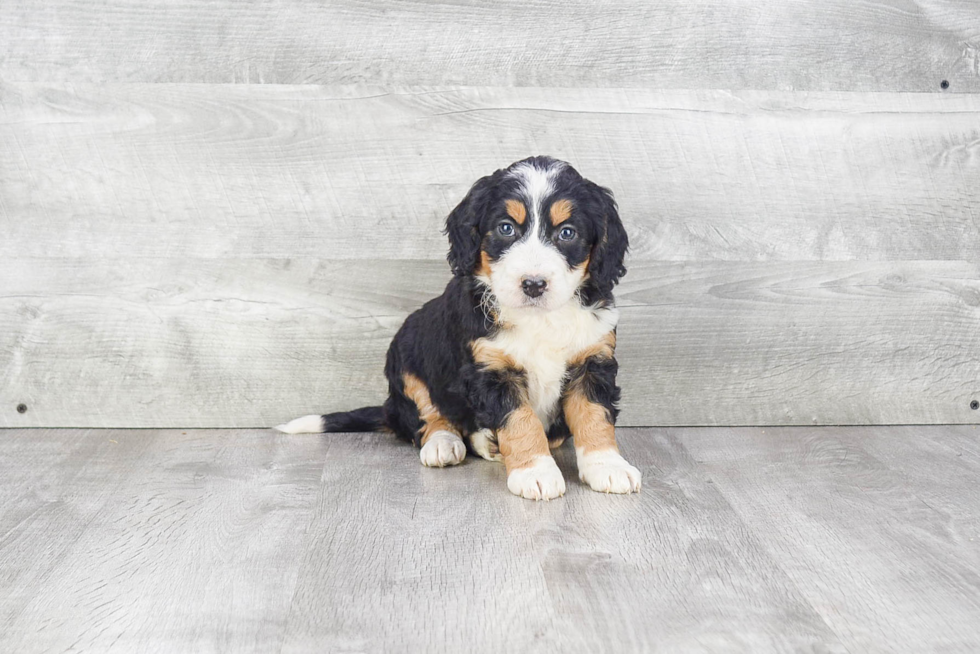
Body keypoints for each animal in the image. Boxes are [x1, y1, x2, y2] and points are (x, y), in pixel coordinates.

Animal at [278, 155, 644, 502]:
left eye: (567, 232)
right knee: (428, 415)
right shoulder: (491, 368)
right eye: (506, 228)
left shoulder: (593, 360)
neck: (539, 318)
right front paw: (535, 472)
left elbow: (595, 415)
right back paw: (445, 443)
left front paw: (608, 466)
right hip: (407, 354)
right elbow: (520, 420)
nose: (533, 284)